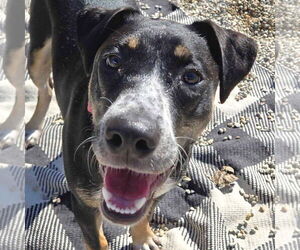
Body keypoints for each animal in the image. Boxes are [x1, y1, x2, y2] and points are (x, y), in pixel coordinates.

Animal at [28, 0, 258, 249]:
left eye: (191, 77)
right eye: (113, 61)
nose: (130, 134)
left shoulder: (161, 188)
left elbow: (144, 215)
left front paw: (144, 239)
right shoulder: (83, 206)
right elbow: (98, 240)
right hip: (37, 51)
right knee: (44, 87)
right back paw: (32, 128)